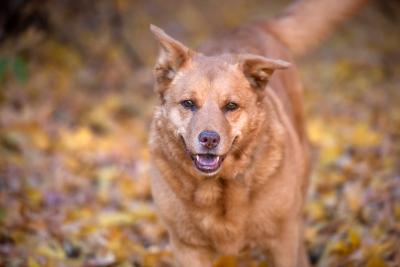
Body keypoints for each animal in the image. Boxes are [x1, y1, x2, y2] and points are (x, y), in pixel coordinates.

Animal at [148, 1, 366, 266]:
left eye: (231, 106)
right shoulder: (187, 247)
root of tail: (252, 25)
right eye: (188, 103)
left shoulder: (283, 240)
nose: (209, 139)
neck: (218, 189)